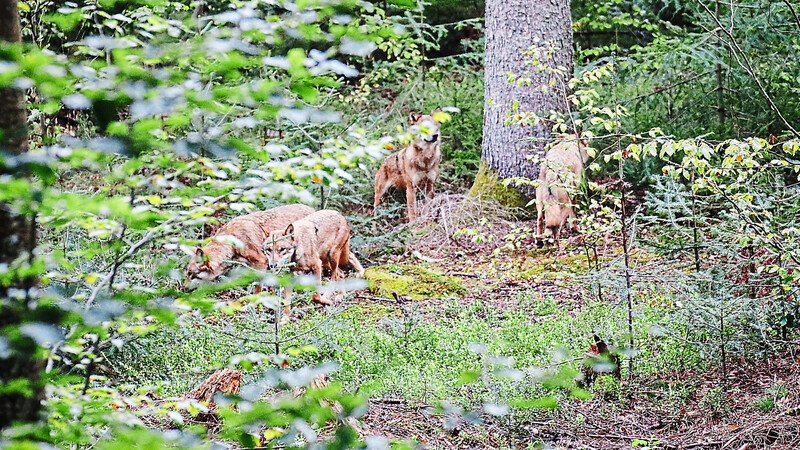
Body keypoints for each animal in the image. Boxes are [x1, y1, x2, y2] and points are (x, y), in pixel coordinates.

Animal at [186, 203, 314, 282]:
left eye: (192, 275)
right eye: (187, 273)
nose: (183, 289)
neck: (233, 241)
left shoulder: (262, 261)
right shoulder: (244, 264)